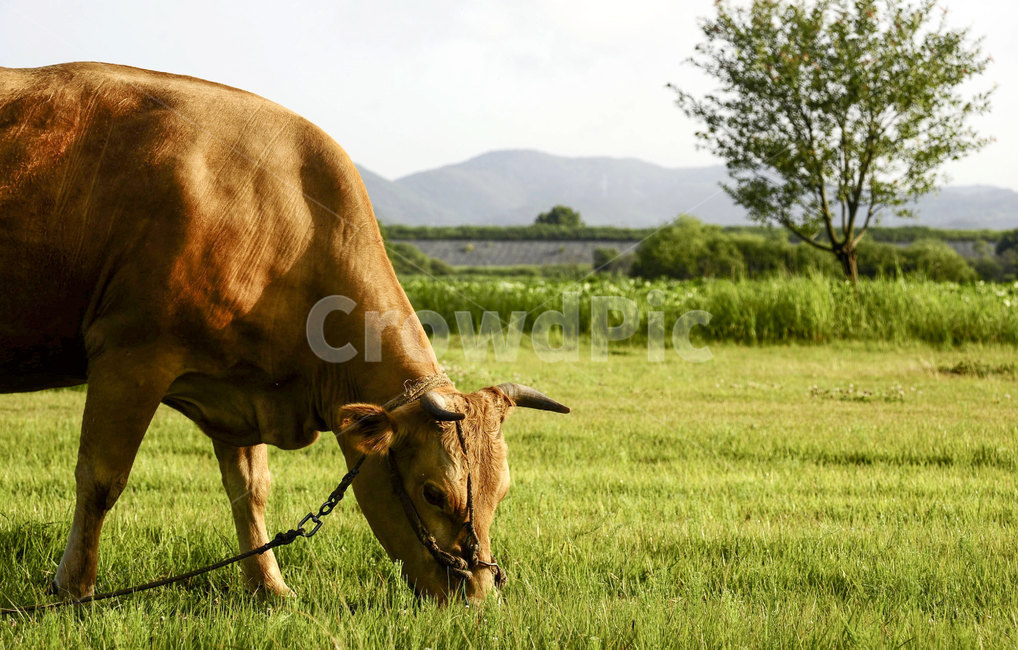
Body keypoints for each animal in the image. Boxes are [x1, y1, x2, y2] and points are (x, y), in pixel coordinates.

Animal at [0, 62, 568, 604]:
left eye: (502, 493)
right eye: (432, 493)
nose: (477, 593)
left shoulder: (236, 385)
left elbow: (250, 489)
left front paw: (269, 586)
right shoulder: (131, 355)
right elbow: (101, 479)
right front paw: (73, 589)